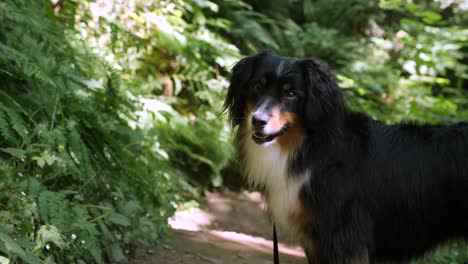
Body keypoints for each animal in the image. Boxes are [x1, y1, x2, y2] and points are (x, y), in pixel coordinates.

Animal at [224, 52, 468, 264]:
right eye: (257, 86)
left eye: (291, 94)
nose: (257, 121)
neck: (312, 149)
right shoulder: (316, 241)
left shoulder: (344, 239)